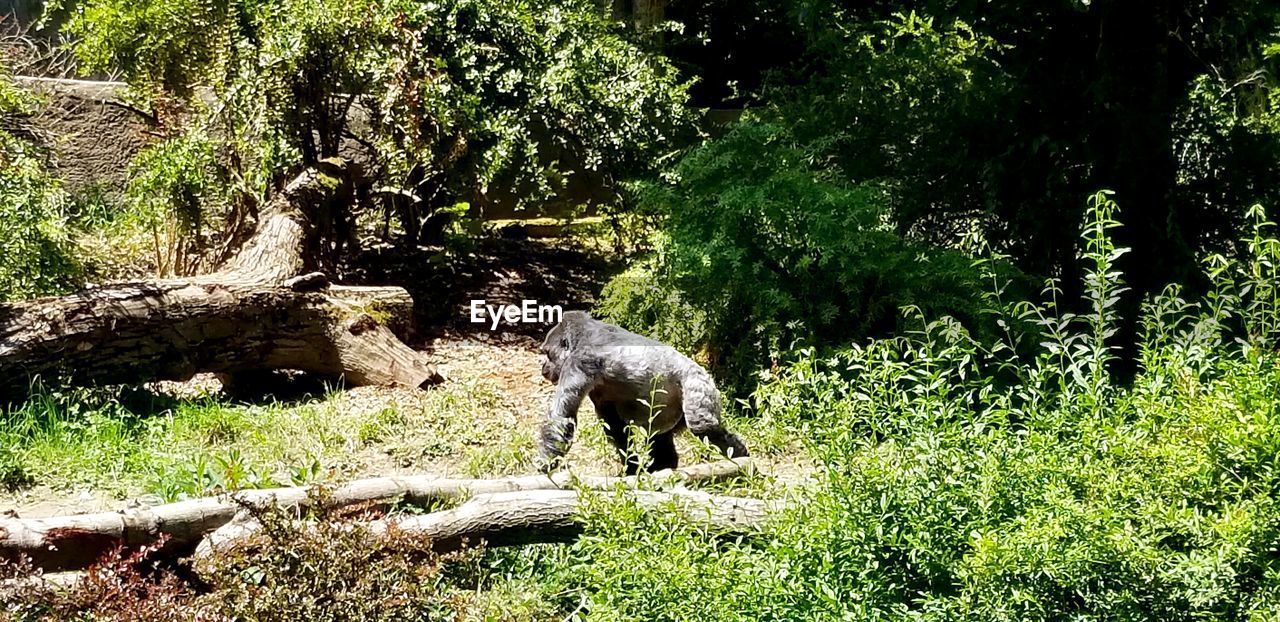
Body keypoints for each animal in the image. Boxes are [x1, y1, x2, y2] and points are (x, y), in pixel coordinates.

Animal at [532, 308, 747, 473]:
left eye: (548, 353)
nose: (544, 368)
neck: (581, 336)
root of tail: (707, 373)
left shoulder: (580, 361)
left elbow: (561, 417)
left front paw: (544, 466)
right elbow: (615, 427)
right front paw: (631, 468)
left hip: (698, 384)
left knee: (703, 427)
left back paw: (740, 456)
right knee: (660, 435)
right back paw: (662, 466)